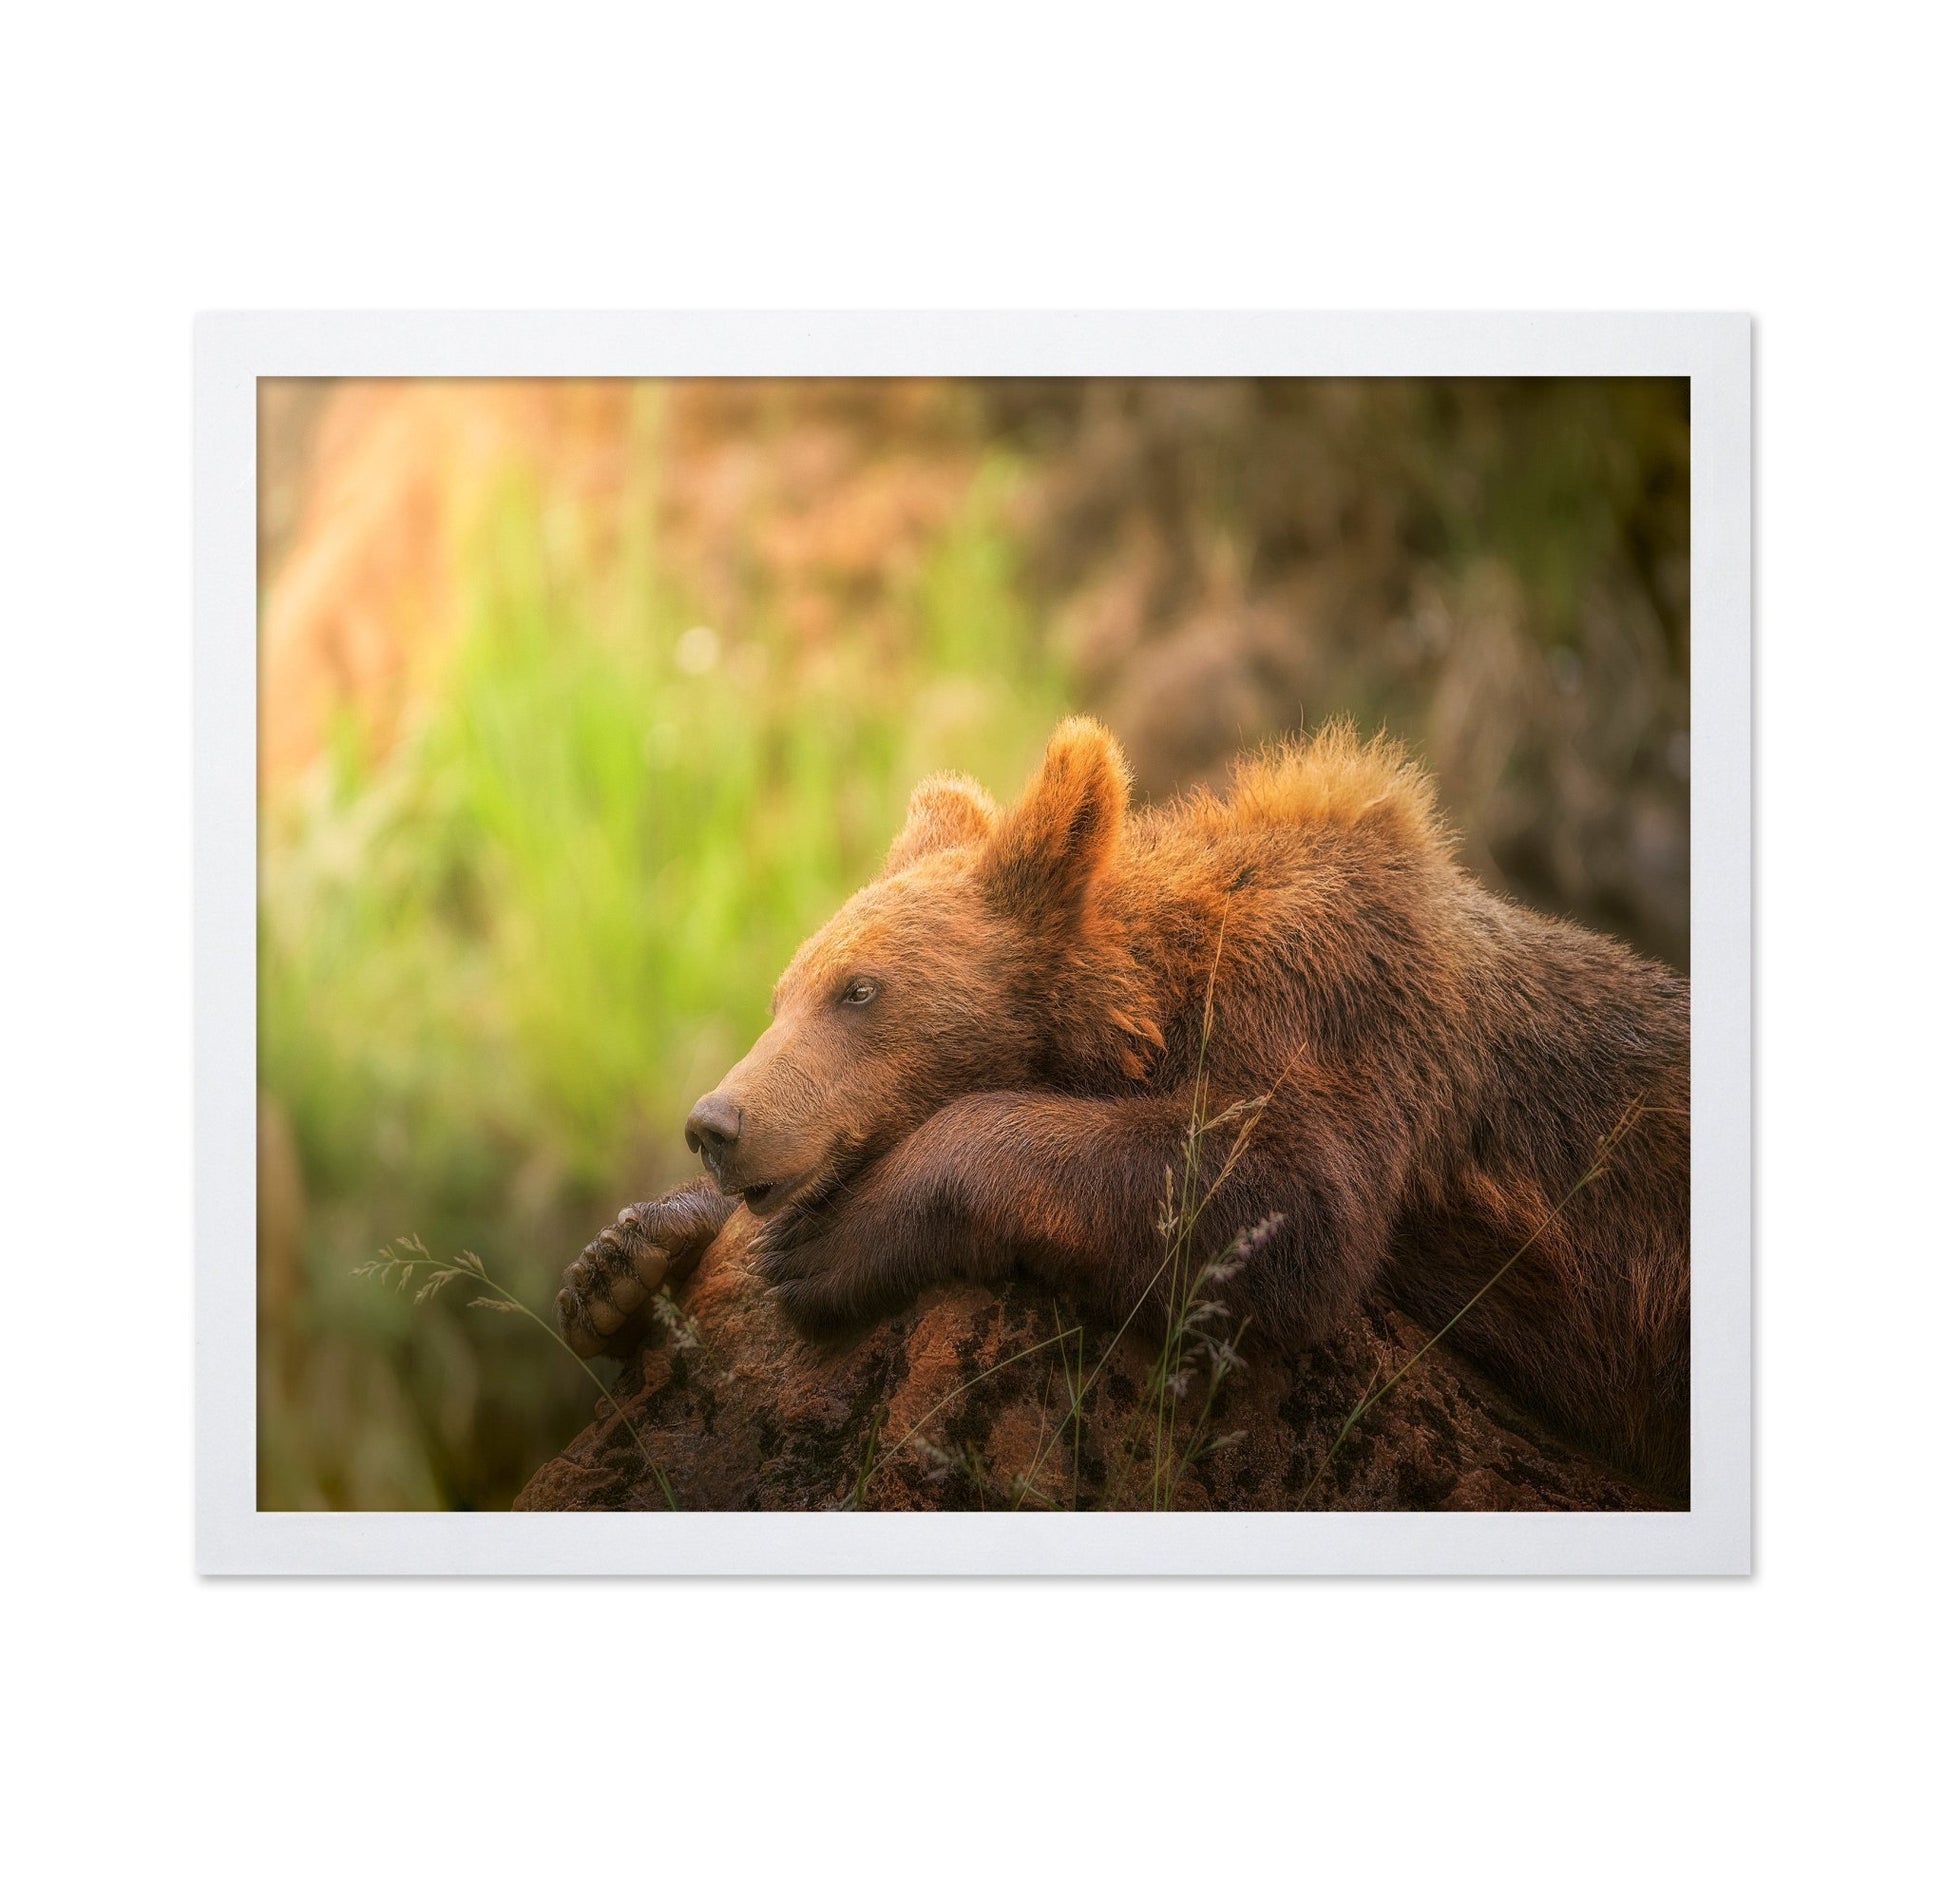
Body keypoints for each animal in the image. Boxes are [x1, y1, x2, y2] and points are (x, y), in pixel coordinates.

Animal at [557, 717, 1691, 1501]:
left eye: (859, 991)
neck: (1159, 995)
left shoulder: (1341, 1007)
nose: (717, 1123)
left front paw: (828, 1244)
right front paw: (619, 1264)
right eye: (780, 993)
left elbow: (1280, 1196)